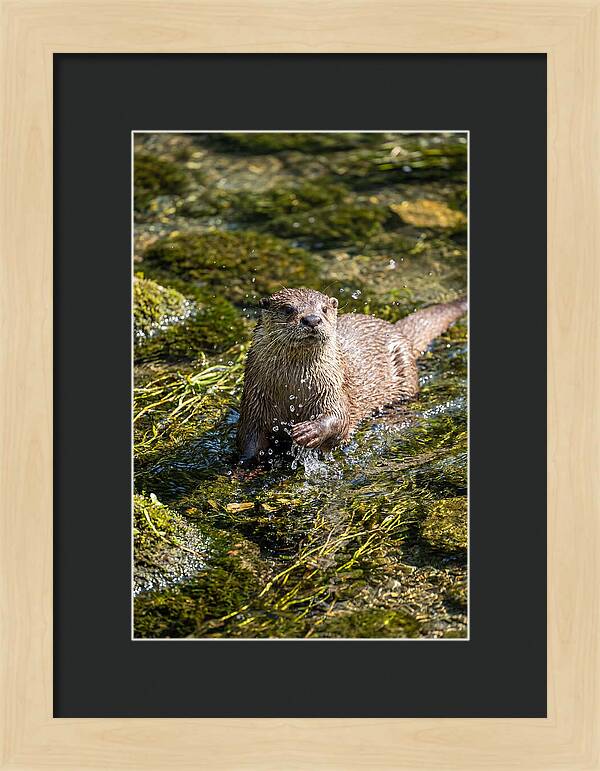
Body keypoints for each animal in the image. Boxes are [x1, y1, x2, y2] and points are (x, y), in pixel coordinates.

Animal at [236, 287, 467, 464]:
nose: (312, 319)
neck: (294, 389)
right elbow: (249, 440)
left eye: (324, 309)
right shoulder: (254, 402)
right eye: (288, 309)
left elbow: (340, 417)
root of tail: (397, 330)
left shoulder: (333, 388)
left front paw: (309, 431)